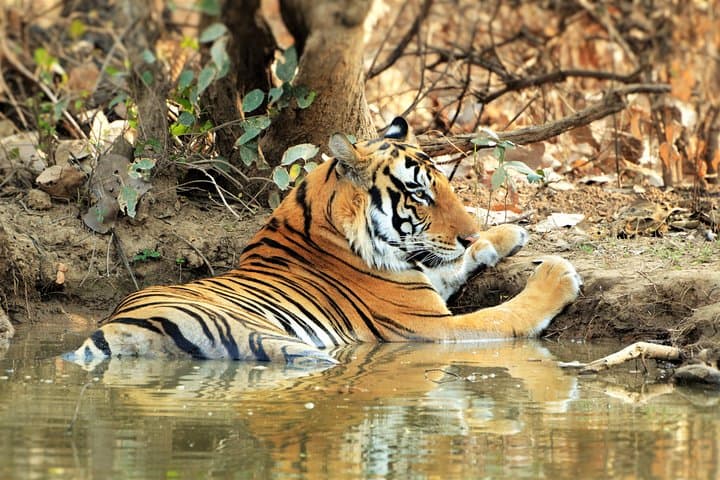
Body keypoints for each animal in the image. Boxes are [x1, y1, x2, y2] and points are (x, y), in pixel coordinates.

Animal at [67, 117, 581, 366]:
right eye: (419, 193)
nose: (470, 230)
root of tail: (112, 329)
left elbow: (450, 261)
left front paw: (505, 233)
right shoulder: (428, 326)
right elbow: (505, 314)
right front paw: (556, 275)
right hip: (285, 345)